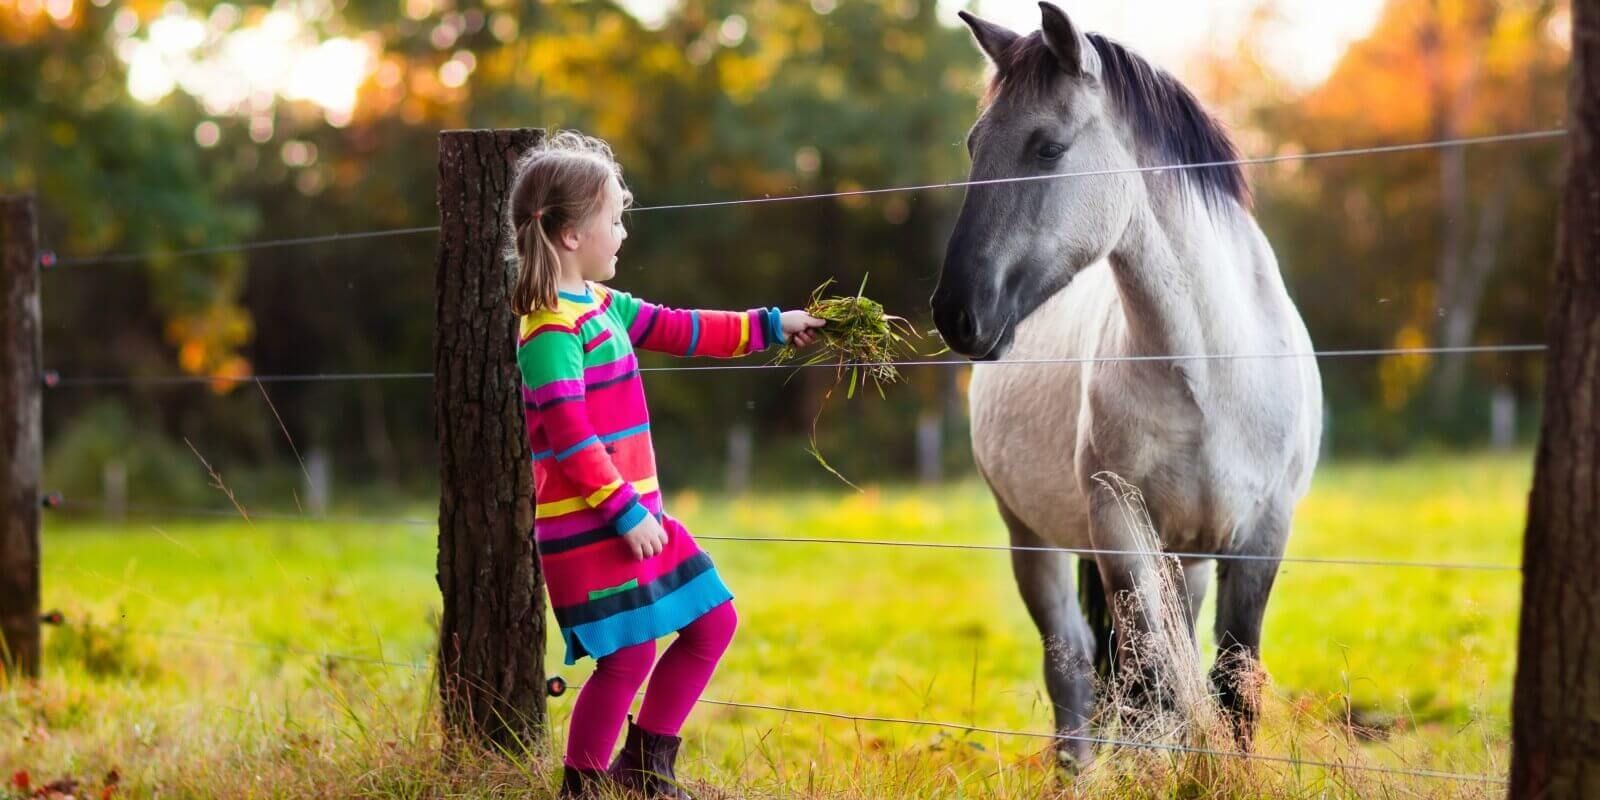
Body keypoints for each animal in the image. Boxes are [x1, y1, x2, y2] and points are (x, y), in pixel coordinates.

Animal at [934, 3, 1318, 764]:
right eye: (974, 145)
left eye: (1048, 147)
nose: (956, 312)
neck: (1211, 373)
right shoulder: (1119, 529)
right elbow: (1151, 690)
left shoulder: (1261, 537)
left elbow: (1231, 690)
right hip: (1034, 540)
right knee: (1074, 670)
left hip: (1184, 561)